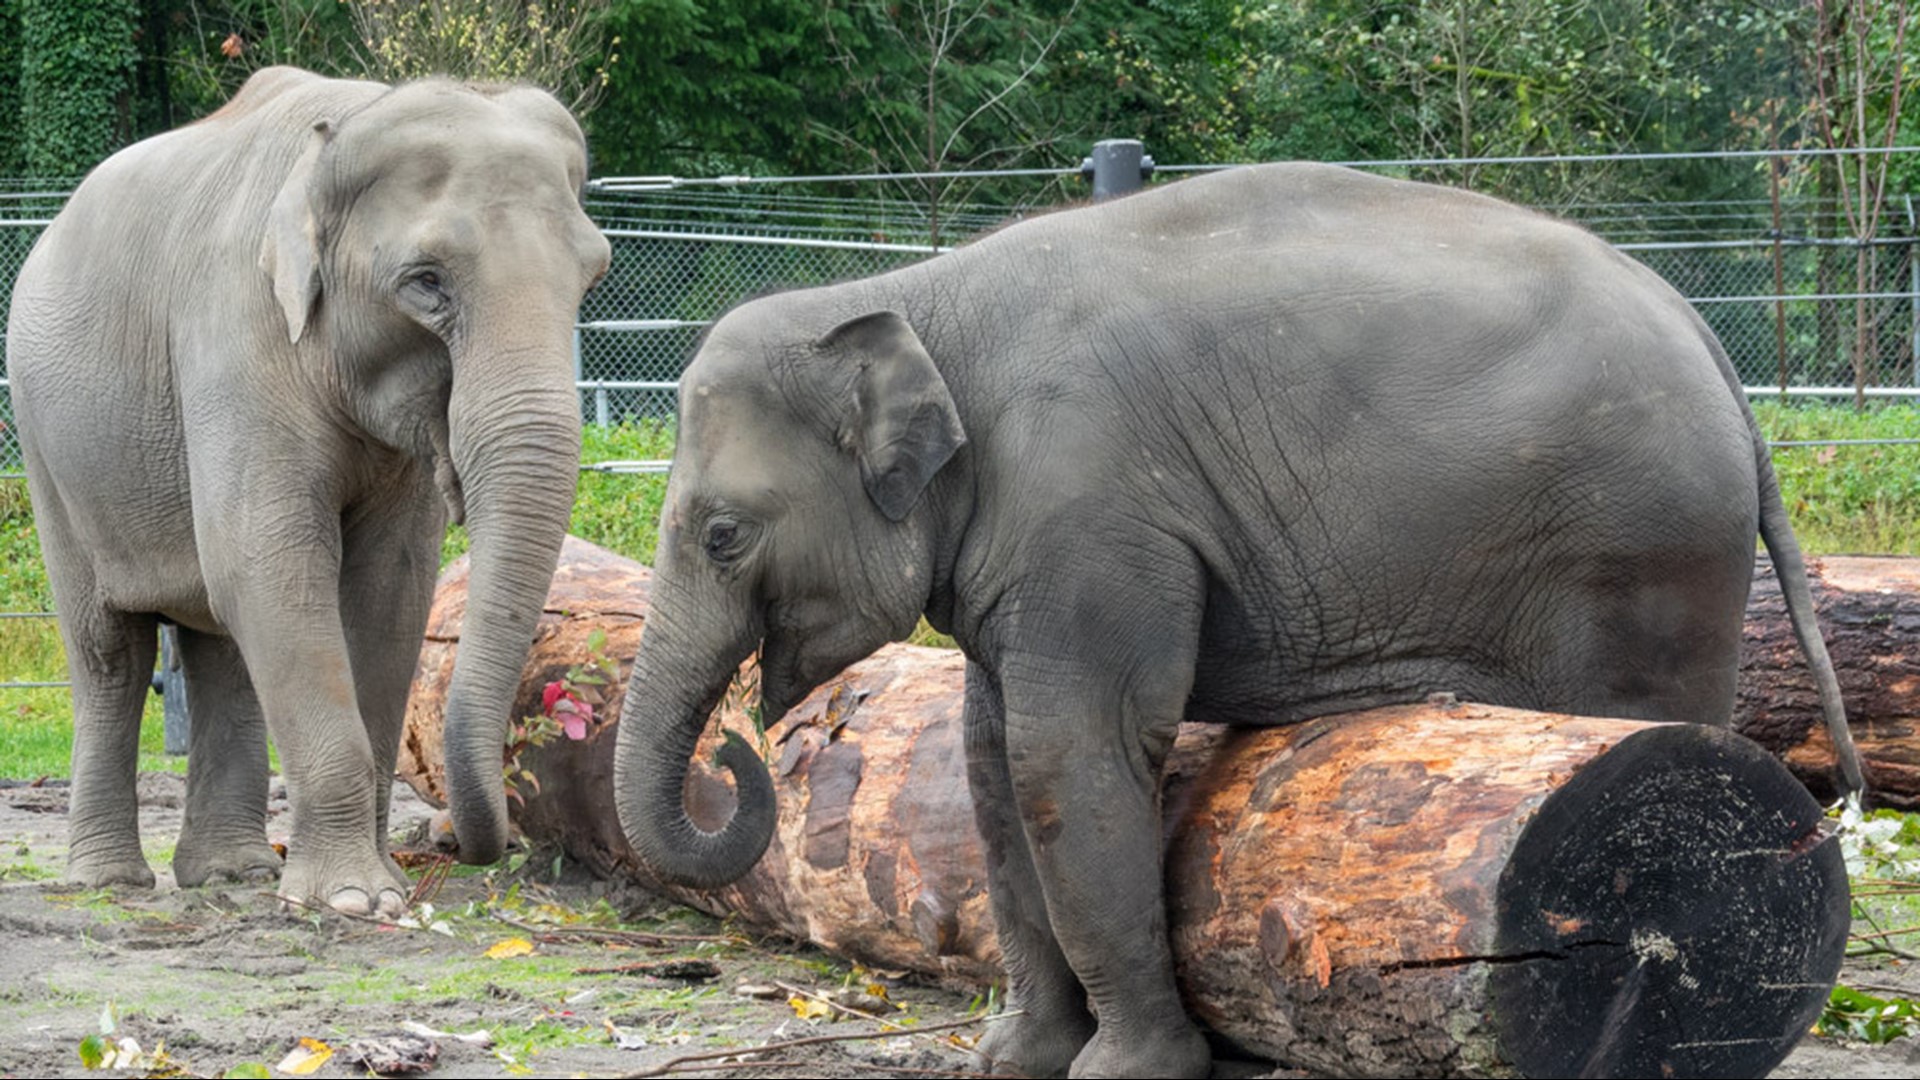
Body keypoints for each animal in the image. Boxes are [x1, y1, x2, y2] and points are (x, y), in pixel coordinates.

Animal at [5, 62, 606, 910]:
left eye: (594, 276)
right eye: (426, 283)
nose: (467, 842)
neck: (351, 123)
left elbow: (389, 592)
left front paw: (379, 885)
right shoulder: (233, 337)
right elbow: (271, 566)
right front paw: (357, 900)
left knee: (219, 642)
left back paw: (233, 872)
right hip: (48, 447)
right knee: (110, 648)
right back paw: (111, 883)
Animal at [614, 161, 1858, 1076]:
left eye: (722, 535)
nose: (735, 748)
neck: (919, 299)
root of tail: (1716, 355)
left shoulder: (1097, 513)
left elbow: (1072, 753)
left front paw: (1126, 1073)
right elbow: (992, 763)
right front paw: (1015, 1060)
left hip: (1648, 553)